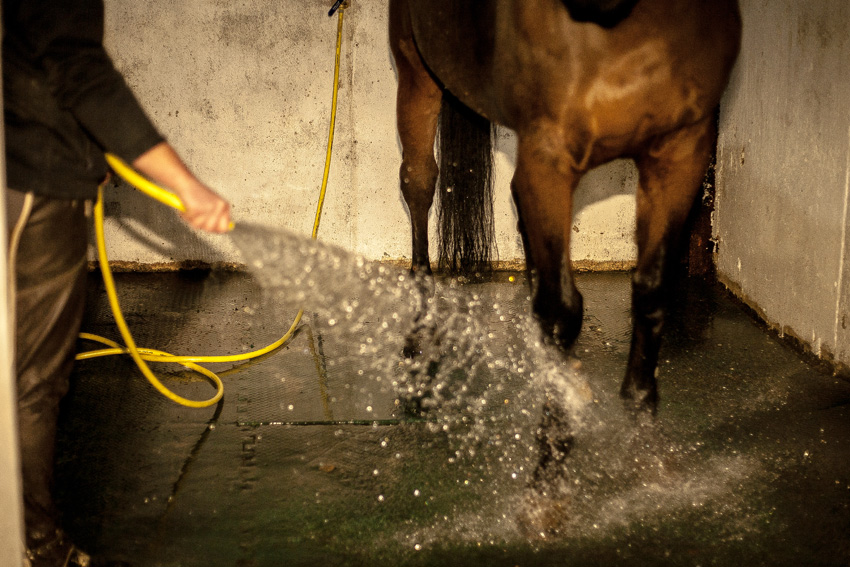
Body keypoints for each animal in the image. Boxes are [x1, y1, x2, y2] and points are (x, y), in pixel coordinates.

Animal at [388, 1, 740, 484]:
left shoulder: (680, 153)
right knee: (419, 183)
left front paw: (644, 434)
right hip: (416, 75)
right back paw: (421, 323)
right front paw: (549, 469)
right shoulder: (550, 160)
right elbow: (563, 311)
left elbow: (652, 290)